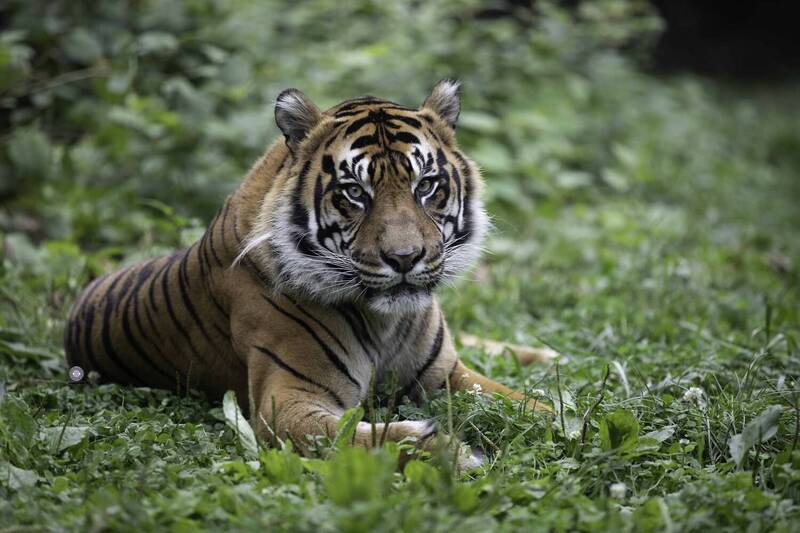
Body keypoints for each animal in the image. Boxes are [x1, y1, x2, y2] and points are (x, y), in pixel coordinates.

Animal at [64, 80, 551, 470]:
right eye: (355, 192)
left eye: (425, 185)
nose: (405, 258)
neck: (385, 320)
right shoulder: (285, 403)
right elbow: (367, 437)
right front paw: (449, 450)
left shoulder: (448, 376)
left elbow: (528, 404)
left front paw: (562, 417)